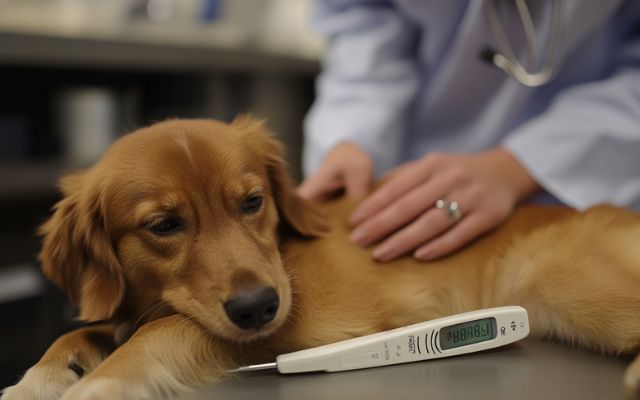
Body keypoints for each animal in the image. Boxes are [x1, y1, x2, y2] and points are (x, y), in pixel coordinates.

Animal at [1, 116, 640, 400]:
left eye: (252, 201)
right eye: (164, 225)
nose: (258, 307)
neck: (282, 253)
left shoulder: (311, 322)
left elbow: (161, 332)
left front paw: (99, 386)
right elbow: (86, 332)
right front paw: (42, 377)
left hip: (570, 285)